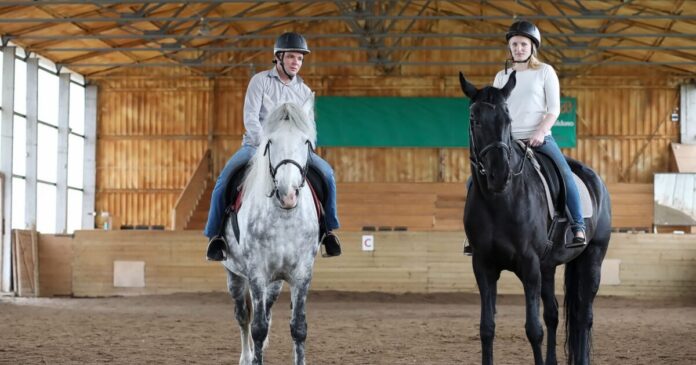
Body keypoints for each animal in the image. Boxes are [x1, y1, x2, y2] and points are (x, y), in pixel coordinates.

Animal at [460, 71, 612, 364]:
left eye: (508, 119)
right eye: (474, 119)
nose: (500, 175)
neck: (500, 201)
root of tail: (594, 178)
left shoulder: (529, 265)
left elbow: (534, 330)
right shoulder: (483, 266)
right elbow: (487, 328)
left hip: (592, 258)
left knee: (584, 317)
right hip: (548, 266)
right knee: (553, 313)